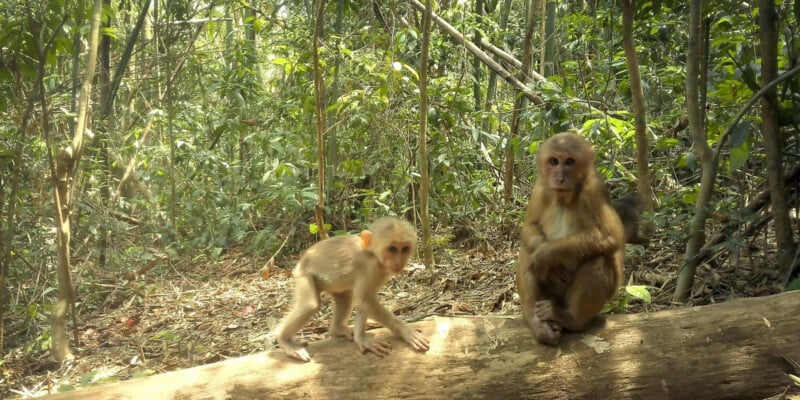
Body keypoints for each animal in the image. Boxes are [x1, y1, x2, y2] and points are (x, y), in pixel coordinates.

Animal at [275, 217, 430, 362]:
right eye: (392, 249)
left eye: (404, 249)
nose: (399, 262)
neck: (373, 255)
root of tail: (300, 262)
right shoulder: (370, 268)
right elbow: (365, 301)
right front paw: (404, 331)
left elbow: (363, 303)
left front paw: (361, 337)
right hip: (303, 274)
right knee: (310, 305)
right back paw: (284, 340)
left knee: (345, 300)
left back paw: (337, 329)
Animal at [517, 132, 625, 346]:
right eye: (553, 161)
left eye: (569, 162)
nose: (559, 178)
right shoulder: (539, 189)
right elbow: (530, 227)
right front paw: (546, 258)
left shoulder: (594, 191)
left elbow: (610, 236)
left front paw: (546, 254)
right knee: (526, 251)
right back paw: (537, 322)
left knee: (600, 258)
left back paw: (570, 319)